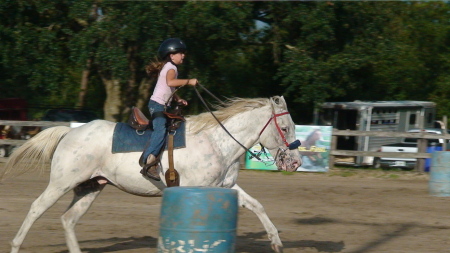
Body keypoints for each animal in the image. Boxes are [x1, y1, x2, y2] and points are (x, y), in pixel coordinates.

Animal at [1, 95, 302, 253]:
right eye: (286, 128)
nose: (296, 163)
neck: (216, 141)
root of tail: (70, 131)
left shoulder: (226, 188)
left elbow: (257, 206)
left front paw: (276, 242)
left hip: (91, 187)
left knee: (68, 219)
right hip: (62, 182)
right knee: (37, 208)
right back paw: (15, 245)